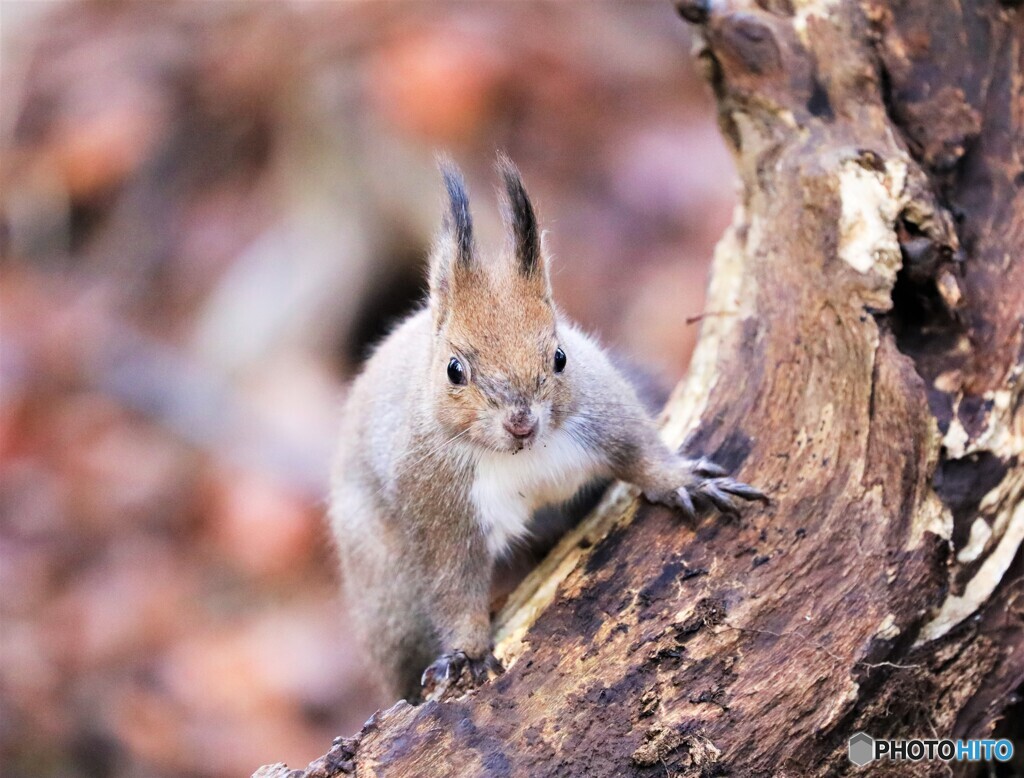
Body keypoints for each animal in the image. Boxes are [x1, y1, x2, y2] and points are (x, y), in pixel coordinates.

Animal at [327, 154, 761, 700]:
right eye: (454, 370)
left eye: (560, 356)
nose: (521, 422)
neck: (519, 458)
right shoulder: (438, 504)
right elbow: (452, 584)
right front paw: (466, 653)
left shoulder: (602, 410)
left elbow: (640, 450)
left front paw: (682, 481)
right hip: (385, 591)